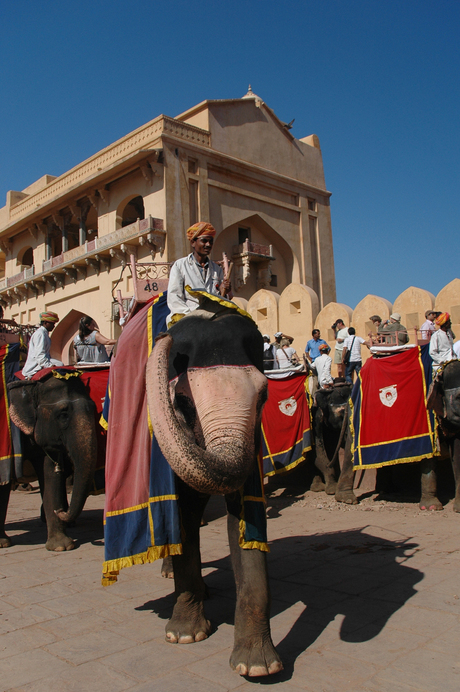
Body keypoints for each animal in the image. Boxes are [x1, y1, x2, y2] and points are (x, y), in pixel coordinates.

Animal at [2, 374, 98, 552]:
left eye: (93, 408)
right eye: (63, 415)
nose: (59, 510)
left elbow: (50, 475)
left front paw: (62, 546)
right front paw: (3, 543)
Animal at [144, 298, 282, 676]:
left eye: (264, 396)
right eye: (182, 402)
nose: (162, 338)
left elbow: (245, 517)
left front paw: (257, 667)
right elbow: (182, 509)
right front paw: (184, 636)